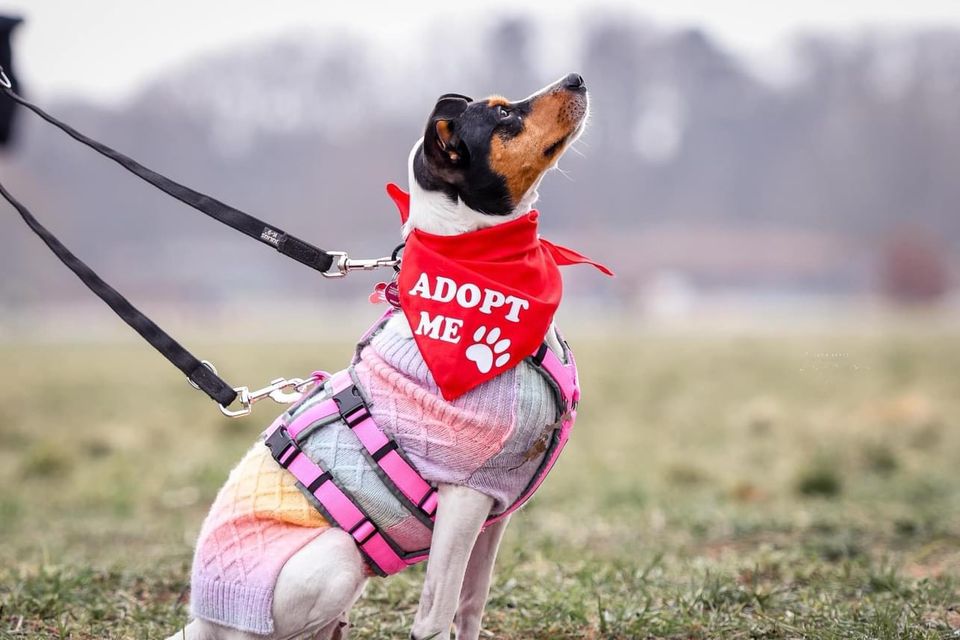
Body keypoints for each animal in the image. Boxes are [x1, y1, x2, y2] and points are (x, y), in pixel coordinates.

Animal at [169, 72, 612, 640]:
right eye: (503, 116)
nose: (576, 78)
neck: (478, 264)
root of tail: (204, 621)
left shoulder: (495, 509)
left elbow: (471, 607)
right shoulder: (463, 499)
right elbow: (436, 617)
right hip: (337, 554)